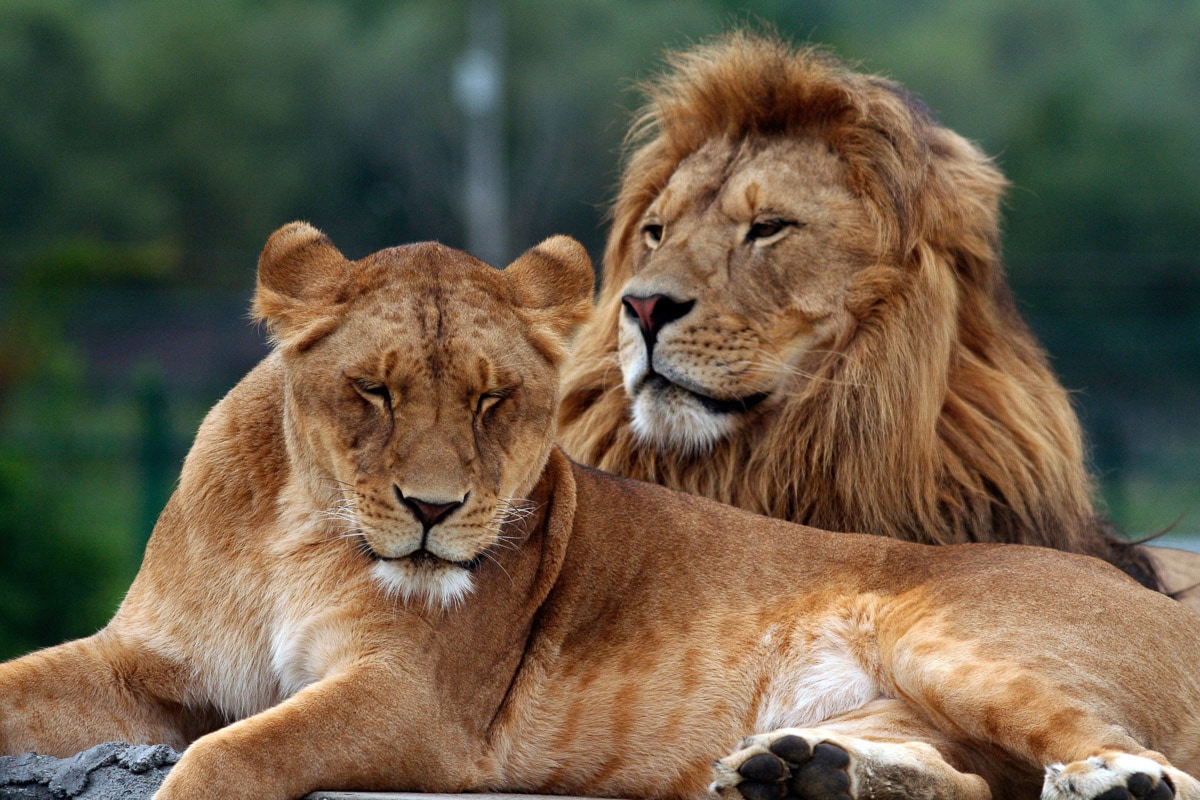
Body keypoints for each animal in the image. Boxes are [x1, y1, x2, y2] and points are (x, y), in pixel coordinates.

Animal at [1, 222, 1199, 800]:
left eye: (493, 401)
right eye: (374, 391)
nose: (432, 510)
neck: (300, 525)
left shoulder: (420, 706)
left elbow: (230, 756)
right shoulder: (146, 665)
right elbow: (21, 685)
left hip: (945, 637)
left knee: (1139, 764)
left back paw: (1117, 785)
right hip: (899, 701)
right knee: (972, 779)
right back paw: (801, 773)